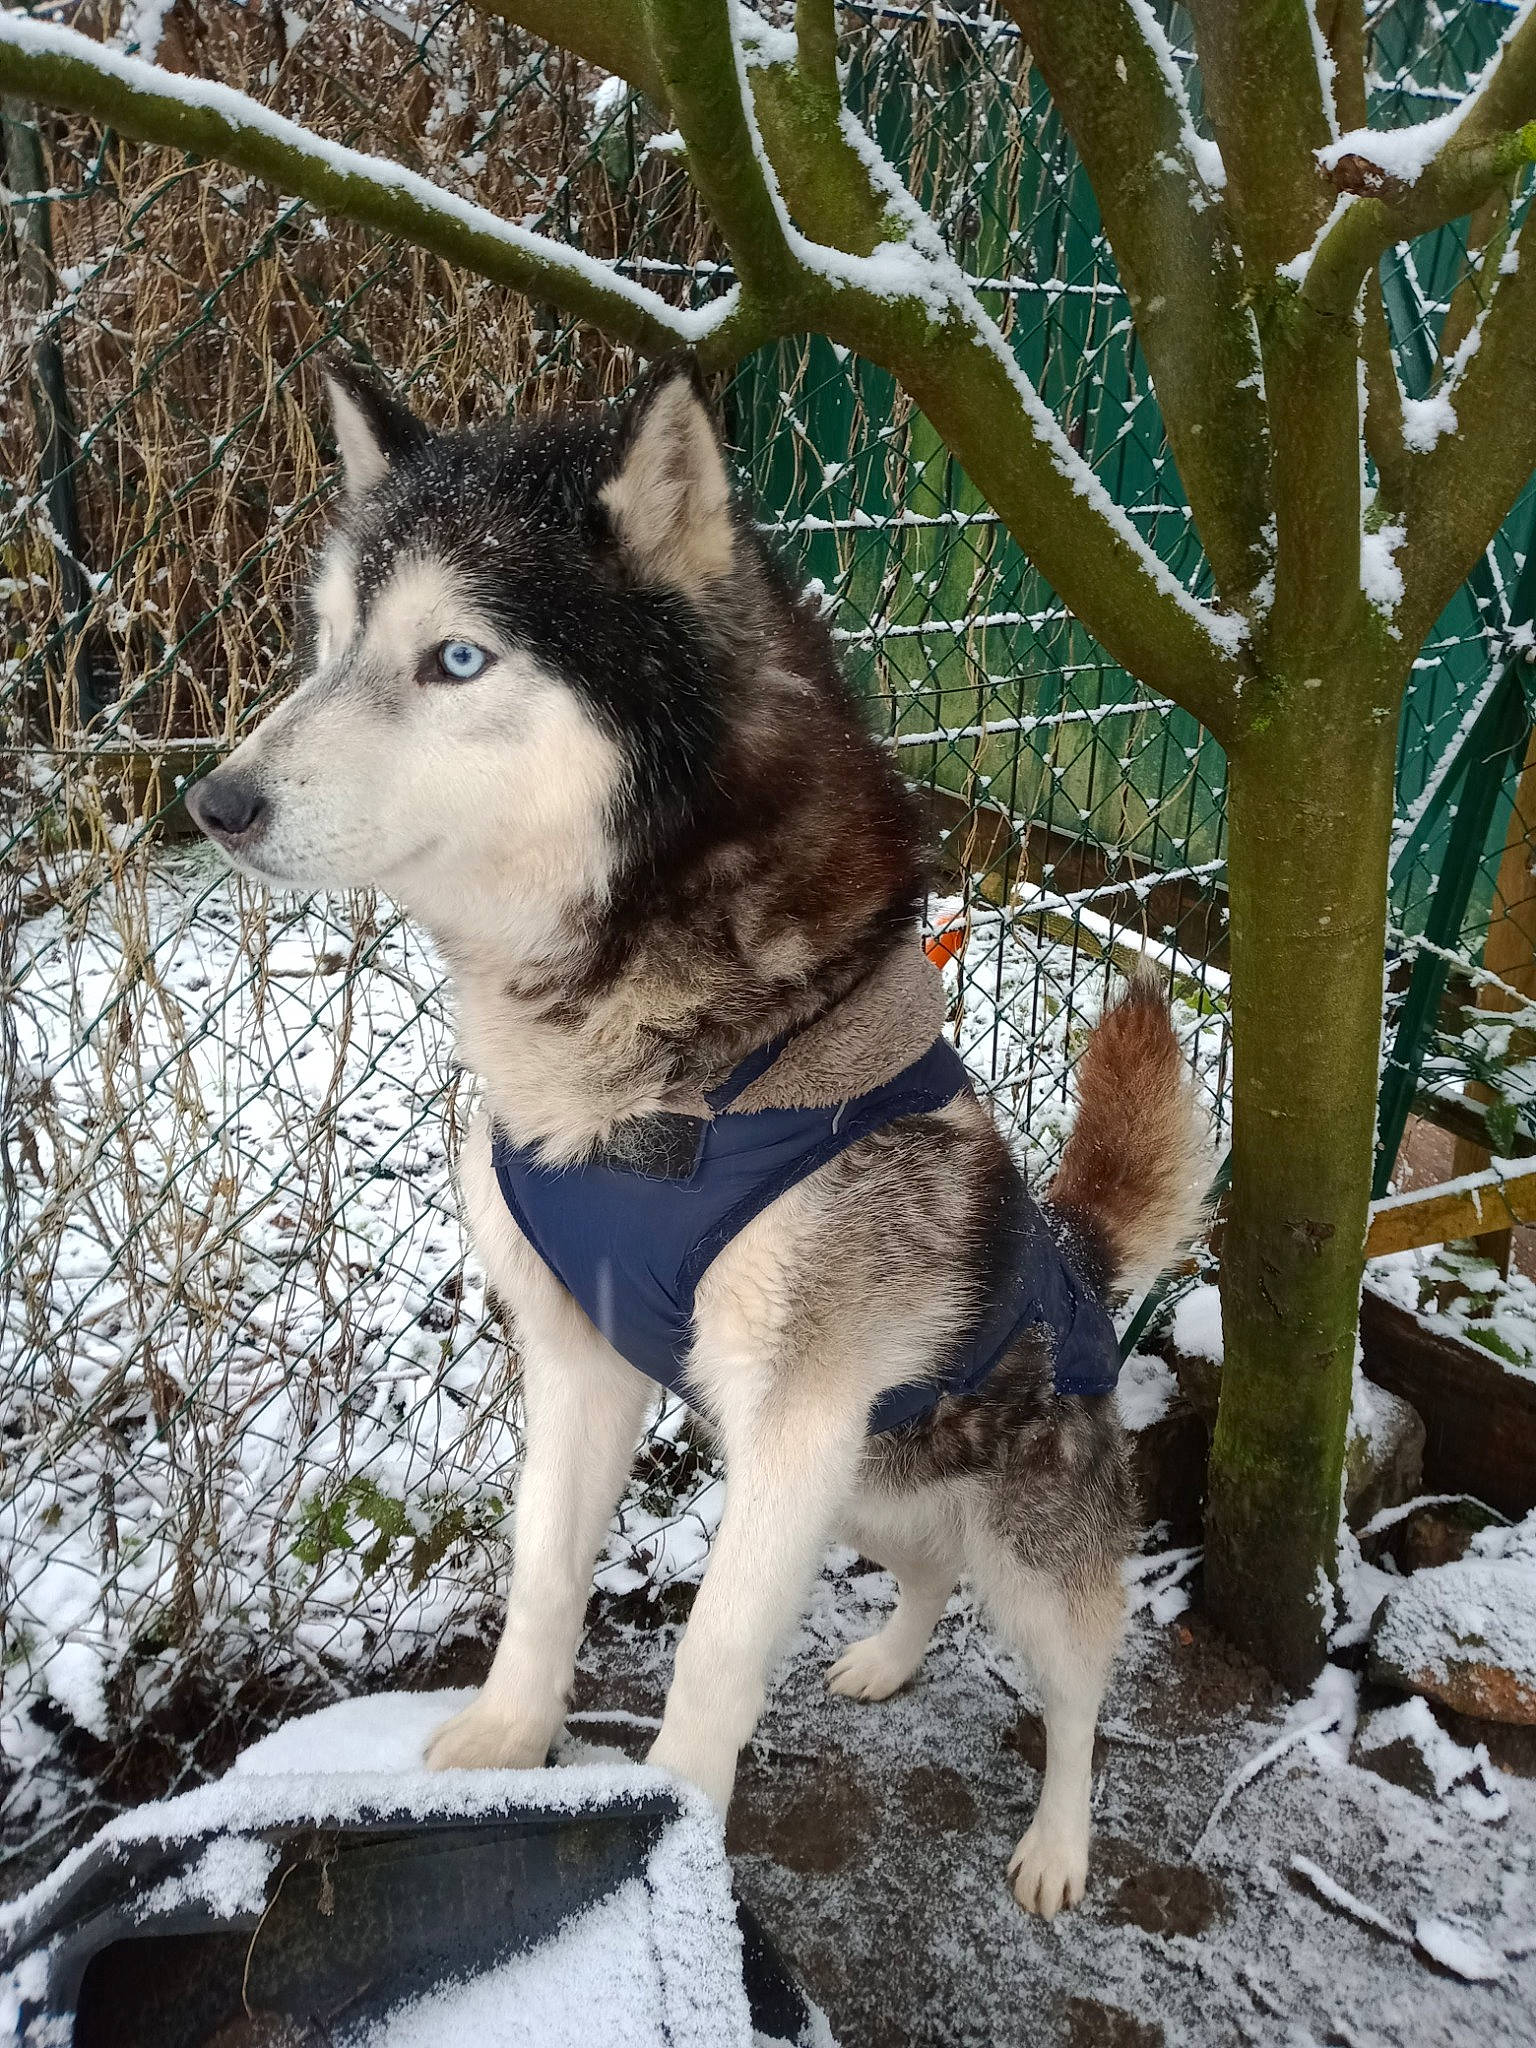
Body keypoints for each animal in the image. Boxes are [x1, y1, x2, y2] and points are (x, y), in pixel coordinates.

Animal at [187, 355, 1206, 1917]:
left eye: (455, 660)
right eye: (330, 641)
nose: (215, 802)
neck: (637, 1077)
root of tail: (1082, 1263)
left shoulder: (792, 1415)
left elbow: (719, 1649)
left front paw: (672, 1828)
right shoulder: (586, 1355)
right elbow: (544, 1572)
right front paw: (506, 1741)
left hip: (1020, 1539)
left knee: (1083, 1689)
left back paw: (1058, 1841)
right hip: (871, 1485)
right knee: (927, 1569)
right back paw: (888, 1654)